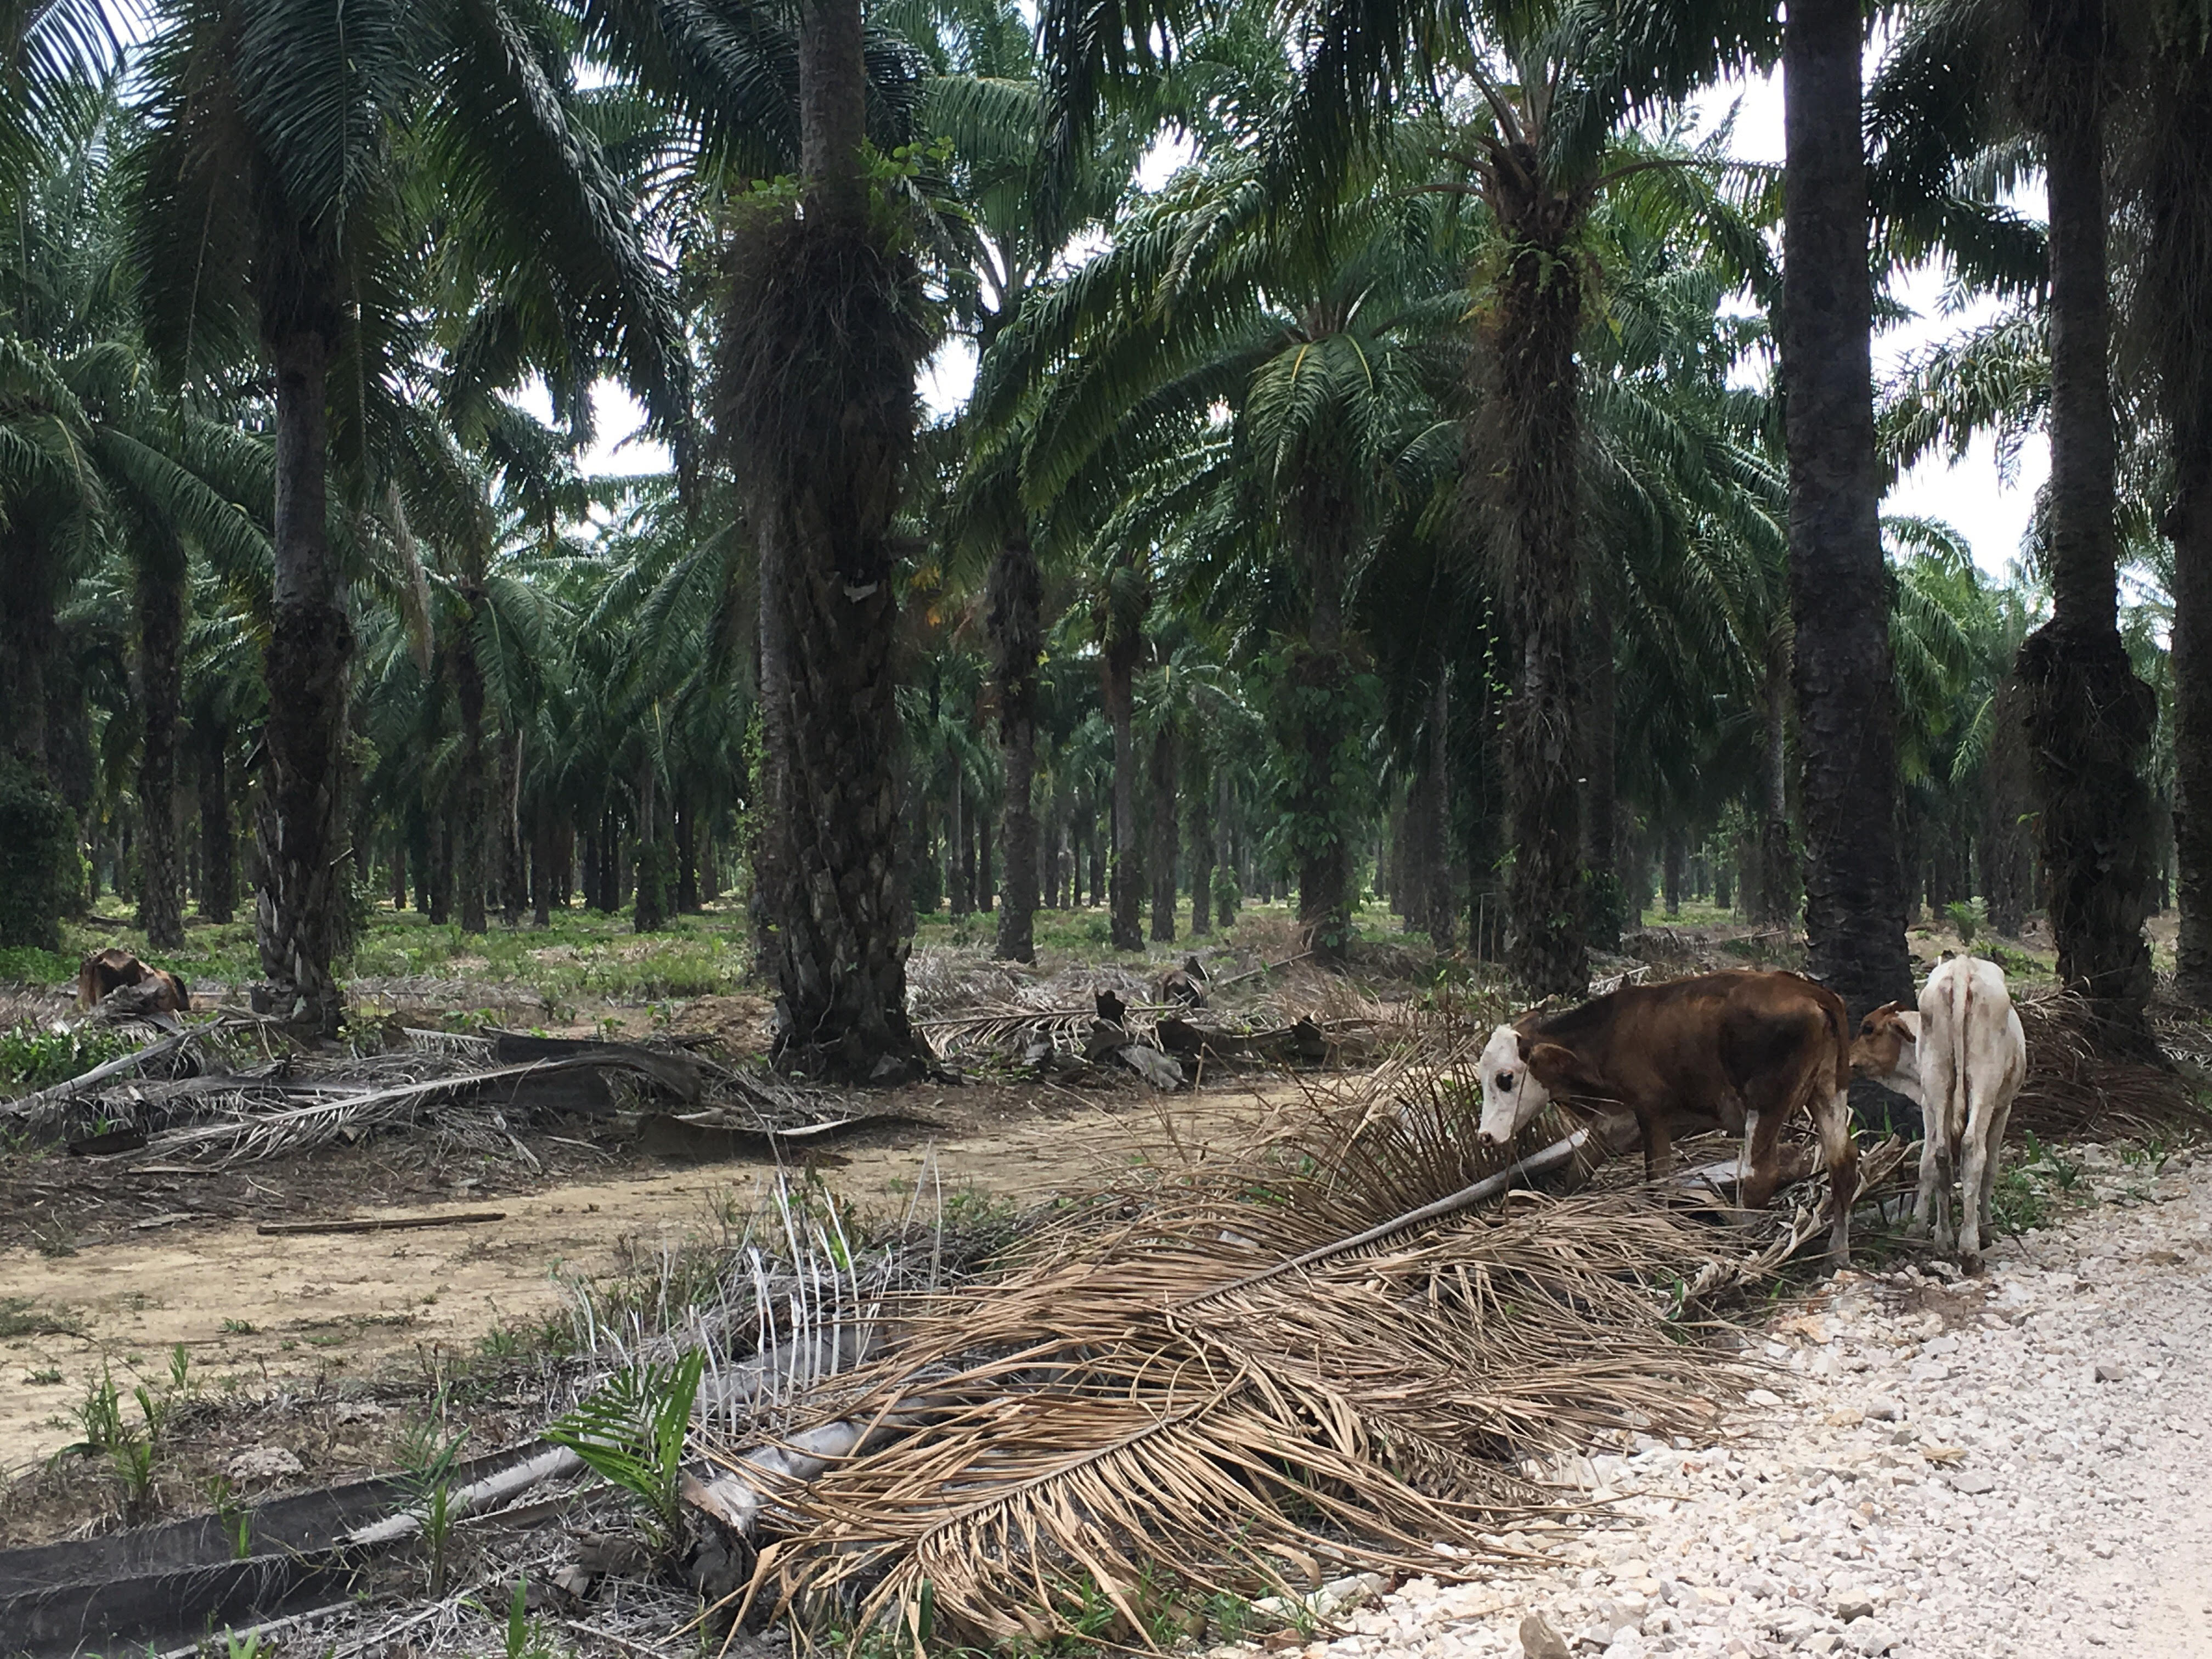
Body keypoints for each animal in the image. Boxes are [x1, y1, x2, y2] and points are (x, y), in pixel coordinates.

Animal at [1477, 973, 1858, 1256]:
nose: (1485, 1136)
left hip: (1766, 1104)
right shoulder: (1613, 1125)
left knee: (1758, 1176)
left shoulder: (1652, 1112)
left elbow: (1657, 1180)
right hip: (1829, 1092)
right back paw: (1838, 1252)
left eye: (1505, 1078)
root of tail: (1809, 991)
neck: (1605, 1037)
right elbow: (1577, 1173)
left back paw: (1735, 1251)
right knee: (1843, 1161)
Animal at [1849, 955, 2026, 1265]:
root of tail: (1962, 967)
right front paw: (1987, 1229)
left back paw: (1943, 1241)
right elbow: (1990, 1168)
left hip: (1939, 1080)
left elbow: (1926, 1165)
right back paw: (1969, 1246)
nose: (1847, 1058)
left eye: (1868, 1028)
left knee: (1942, 1155)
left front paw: (1917, 1227)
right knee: (1973, 1150)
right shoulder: (2003, 1107)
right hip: (1983, 1084)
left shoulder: (1928, 1104)